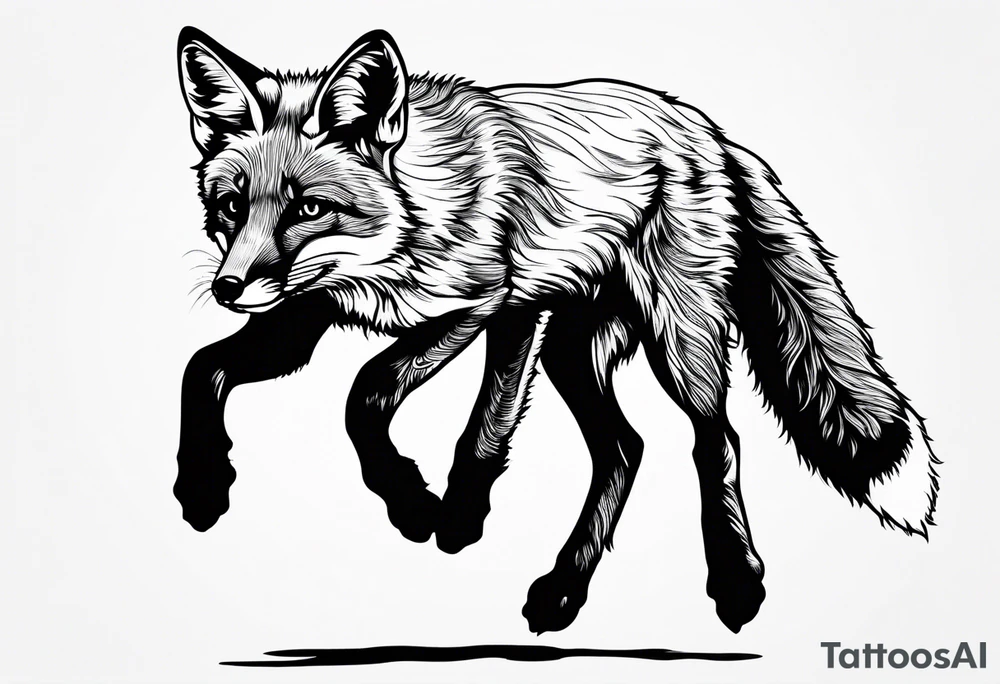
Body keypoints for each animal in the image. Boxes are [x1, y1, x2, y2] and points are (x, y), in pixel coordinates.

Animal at [175, 26, 940, 635]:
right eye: (232, 206)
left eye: (307, 208)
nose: (227, 288)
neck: (413, 216)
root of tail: (706, 129)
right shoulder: (303, 317)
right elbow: (202, 370)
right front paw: (204, 486)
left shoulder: (488, 304)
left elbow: (381, 397)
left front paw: (427, 508)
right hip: (575, 352)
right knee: (625, 451)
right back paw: (564, 588)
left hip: (676, 340)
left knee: (716, 442)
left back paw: (735, 581)